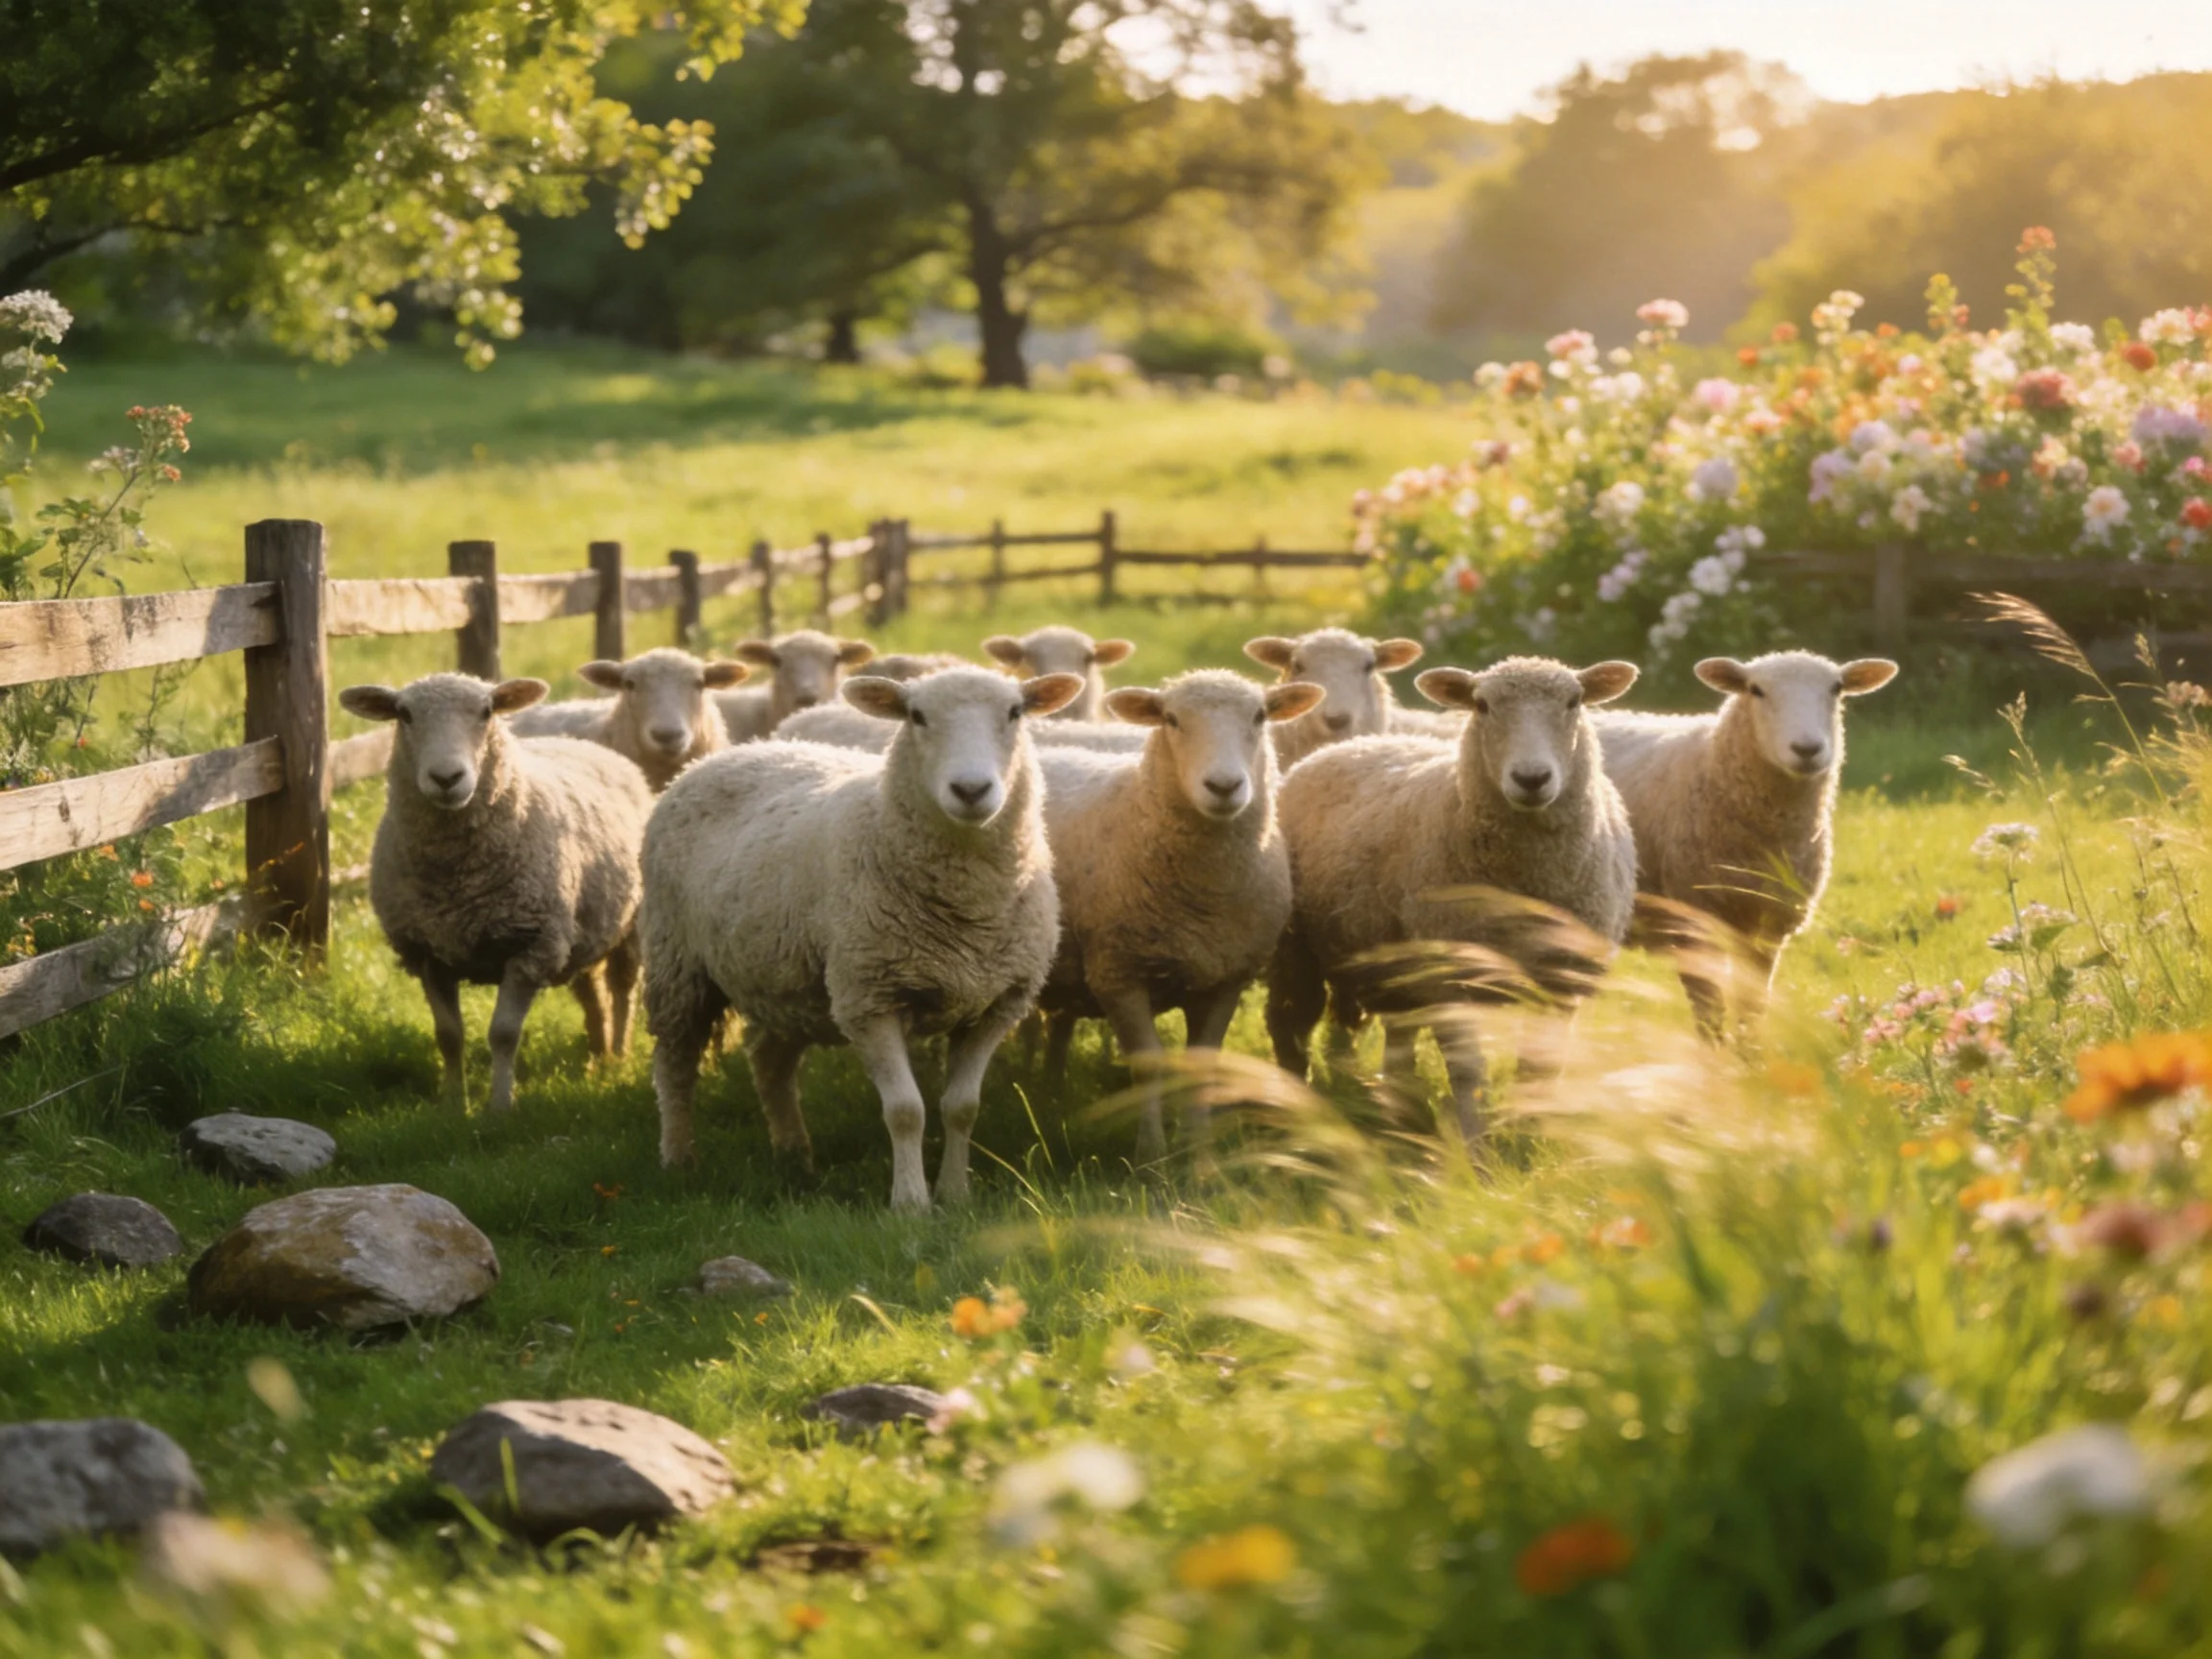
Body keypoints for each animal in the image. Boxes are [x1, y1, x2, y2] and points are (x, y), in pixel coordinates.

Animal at [338, 674, 654, 1114]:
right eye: (404, 714)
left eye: (487, 712)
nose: (447, 778)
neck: (455, 883)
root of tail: (585, 743)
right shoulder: (427, 952)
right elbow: (448, 1035)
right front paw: (454, 1104)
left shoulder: (530, 947)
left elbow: (503, 1034)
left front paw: (500, 1106)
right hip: (580, 931)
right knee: (591, 990)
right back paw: (598, 1052)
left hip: (630, 925)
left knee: (623, 990)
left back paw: (619, 1056)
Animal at [642, 665, 1085, 1210]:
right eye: (917, 716)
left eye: (1015, 712)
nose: (971, 789)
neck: (967, 909)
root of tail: (726, 754)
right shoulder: (870, 998)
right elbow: (906, 1110)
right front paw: (911, 1203)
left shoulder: (997, 1004)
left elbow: (962, 1107)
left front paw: (955, 1194)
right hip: (676, 961)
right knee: (675, 1065)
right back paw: (678, 1157)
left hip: (785, 979)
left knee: (769, 1062)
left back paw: (794, 1155)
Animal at [1027, 671, 1326, 1161]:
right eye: (1171, 720)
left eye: (1259, 716)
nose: (1224, 786)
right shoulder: (1118, 973)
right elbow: (1148, 1066)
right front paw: (1151, 1155)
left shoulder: (1227, 977)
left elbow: (1204, 1066)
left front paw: (1197, 1154)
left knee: (1059, 1021)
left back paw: (1049, 1091)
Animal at [1265, 656, 1640, 1142]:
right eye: (1481, 705)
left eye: (1574, 702)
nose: (1532, 778)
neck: (1526, 884)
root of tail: (1356, 743)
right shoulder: (1455, 978)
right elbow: (1468, 1071)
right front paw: (1472, 1144)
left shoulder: (1558, 984)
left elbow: (1539, 1071)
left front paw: (1531, 1136)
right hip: (1297, 949)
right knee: (1290, 1025)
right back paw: (1295, 1107)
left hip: (1388, 960)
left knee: (1391, 1035)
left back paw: (1397, 1107)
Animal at [1594, 651, 1899, 1038]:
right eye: (1756, 690)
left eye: (1837, 689)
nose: (1807, 749)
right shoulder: (1694, 916)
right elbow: (1709, 1012)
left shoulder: (1769, 926)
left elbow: (1751, 1010)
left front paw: (1748, 1053)